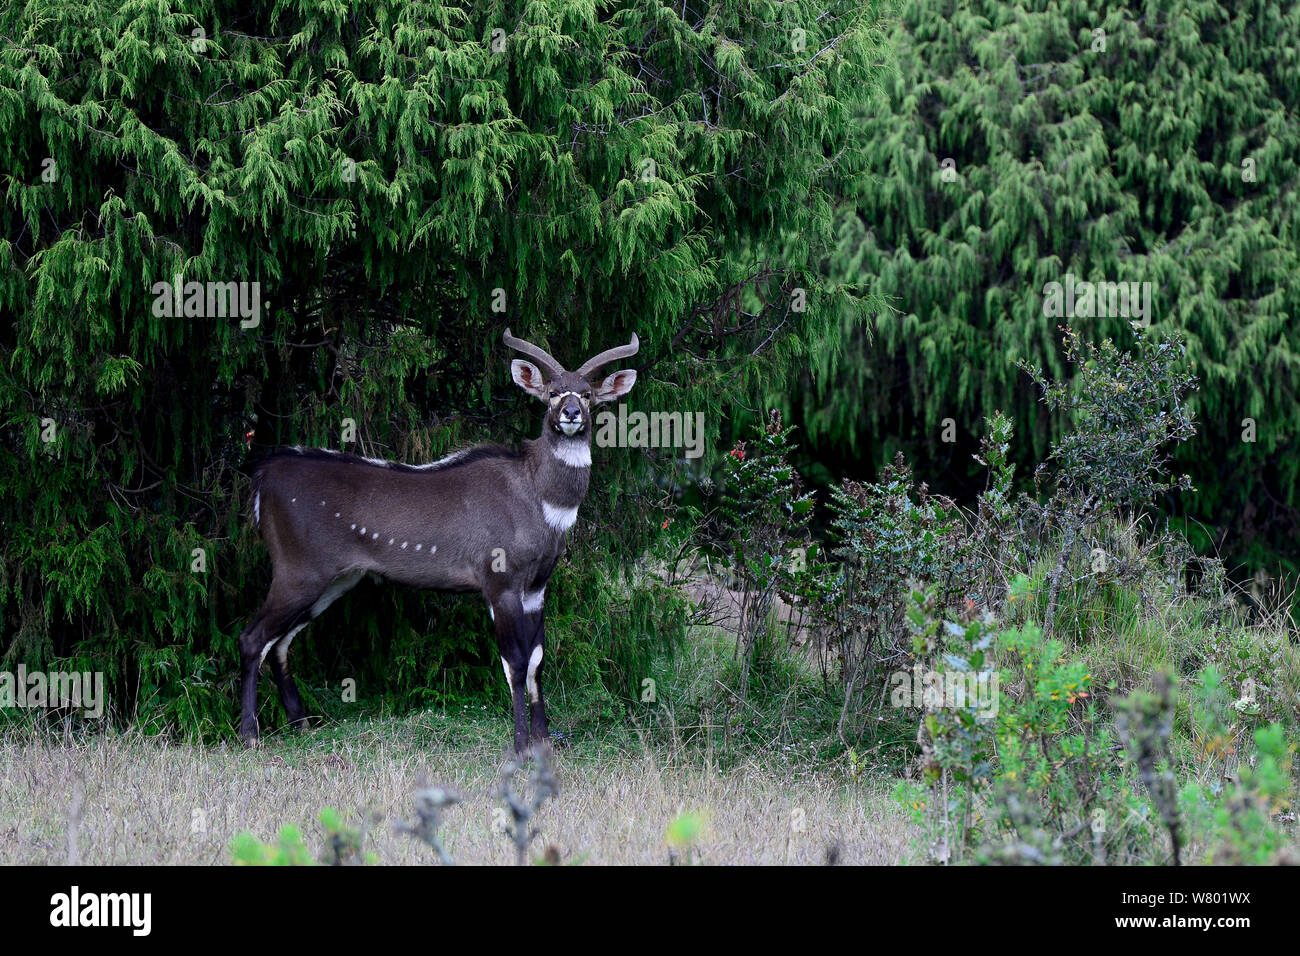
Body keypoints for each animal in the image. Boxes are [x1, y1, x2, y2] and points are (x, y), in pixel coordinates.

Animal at [240, 329, 639, 754]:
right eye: (551, 391)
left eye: (588, 393)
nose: (571, 413)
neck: (540, 498)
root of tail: (263, 477)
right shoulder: (499, 581)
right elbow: (513, 662)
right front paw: (520, 745)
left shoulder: (537, 586)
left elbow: (537, 661)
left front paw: (544, 741)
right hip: (298, 571)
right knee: (252, 638)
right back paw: (250, 735)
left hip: (335, 580)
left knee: (279, 642)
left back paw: (301, 725)